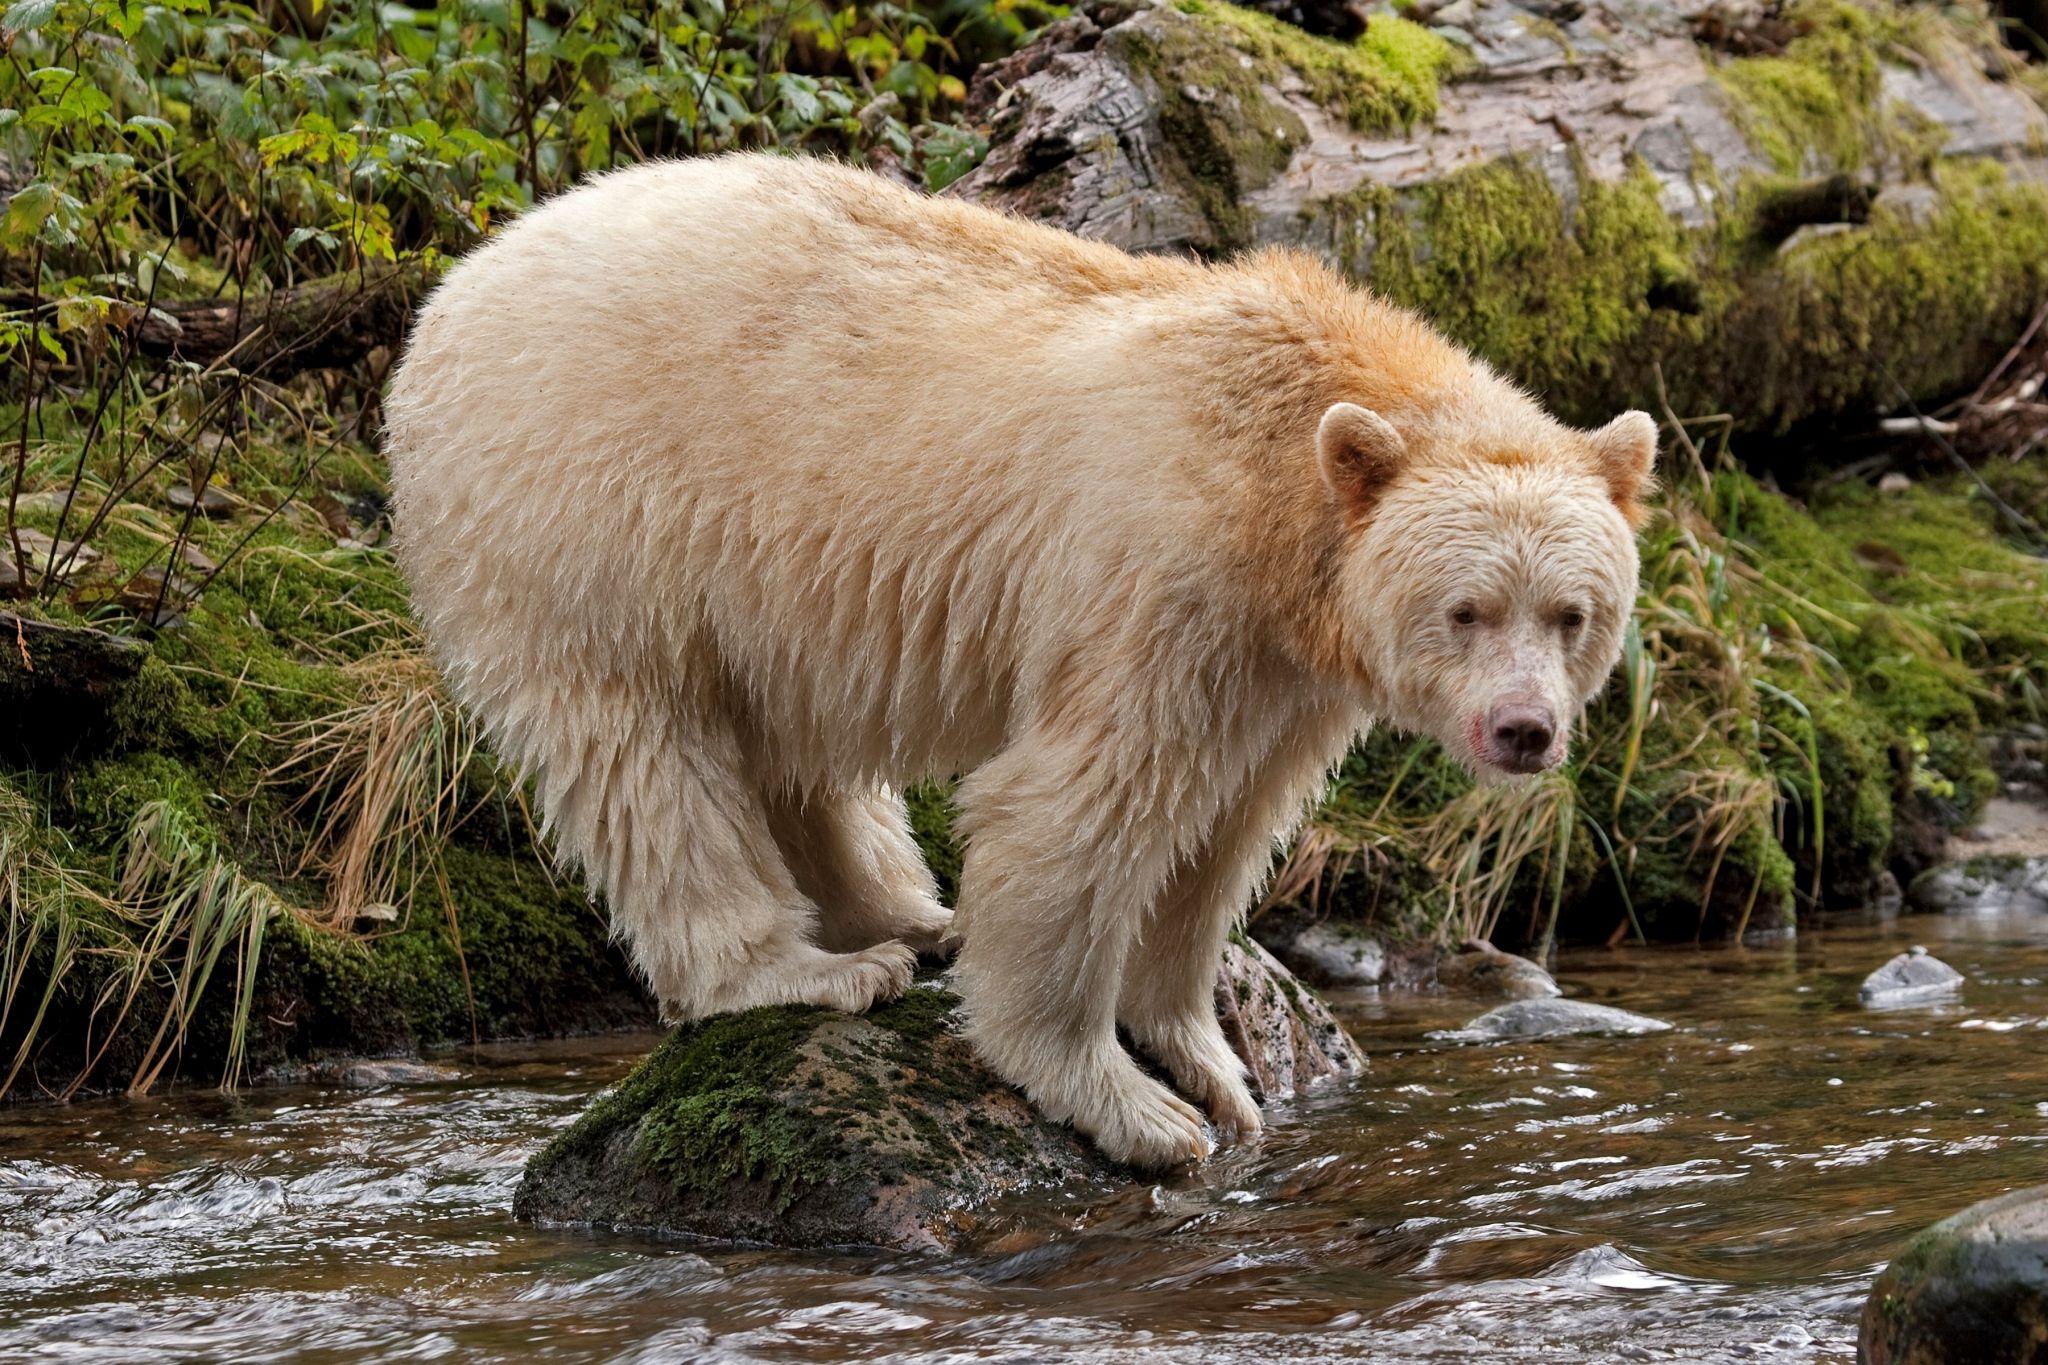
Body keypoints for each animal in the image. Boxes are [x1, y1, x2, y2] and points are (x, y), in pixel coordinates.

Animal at [384, 153, 1653, 1170]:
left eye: (1572, 614)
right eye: (1464, 611)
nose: (1523, 731)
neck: (1269, 476)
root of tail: (452, 290)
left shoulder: (1280, 664)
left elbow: (1223, 833)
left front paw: (1212, 1065)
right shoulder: (1159, 585)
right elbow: (1080, 809)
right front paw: (1133, 1107)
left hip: (752, 579)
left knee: (781, 742)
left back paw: (904, 914)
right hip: (589, 516)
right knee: (643, 755)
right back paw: (806, 968)